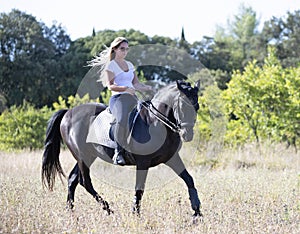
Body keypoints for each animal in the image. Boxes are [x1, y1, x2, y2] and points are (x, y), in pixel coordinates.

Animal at [41, 80, 202, 216]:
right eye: (182, 106)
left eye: (197, 107)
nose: (187, 134)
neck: (155, 122)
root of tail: (68, 113)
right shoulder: (143, 162)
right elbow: (139, 189)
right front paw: (135, 214)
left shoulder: (171, 158)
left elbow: (189, 179)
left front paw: (197, 211)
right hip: (82, 156)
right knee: (85, 181)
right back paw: (108, 209)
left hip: (88, 156)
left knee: (73, 179)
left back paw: (70, 210)